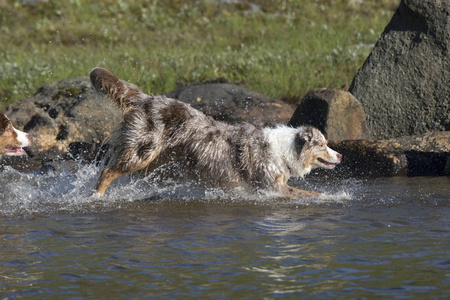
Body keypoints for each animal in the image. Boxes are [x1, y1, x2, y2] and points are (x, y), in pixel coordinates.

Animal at [91, 67, 342, 198]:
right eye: (322, 144)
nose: (340, 155)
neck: (286, 149)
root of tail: (146, 99)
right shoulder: (271, 187)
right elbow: (309, 194)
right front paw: (335, 197)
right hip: (143, 151)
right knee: (107, 172)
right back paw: (96, 196)